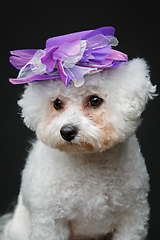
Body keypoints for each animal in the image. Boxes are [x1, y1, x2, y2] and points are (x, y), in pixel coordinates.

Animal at [0, 26, 156, 240]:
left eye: (95, 100)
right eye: (57, 103)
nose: (67, 131)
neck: (89, 162)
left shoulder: (132, 217)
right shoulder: (50, 221)